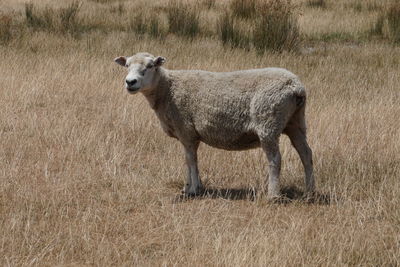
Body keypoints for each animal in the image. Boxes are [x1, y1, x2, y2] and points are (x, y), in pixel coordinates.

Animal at [114, 52, 314, 200]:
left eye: (150, 66)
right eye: (127, 66)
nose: (130, 82)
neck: (167, 89)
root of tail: (297, 87)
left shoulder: (186, 129)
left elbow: (190, 160)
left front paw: (193, 189)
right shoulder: (188, 135)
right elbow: (188, 160)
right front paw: (189, 186)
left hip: (268, 121)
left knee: (275, 159)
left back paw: (273, 195)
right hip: (296, 122)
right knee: (306, 153)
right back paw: (310, 192)